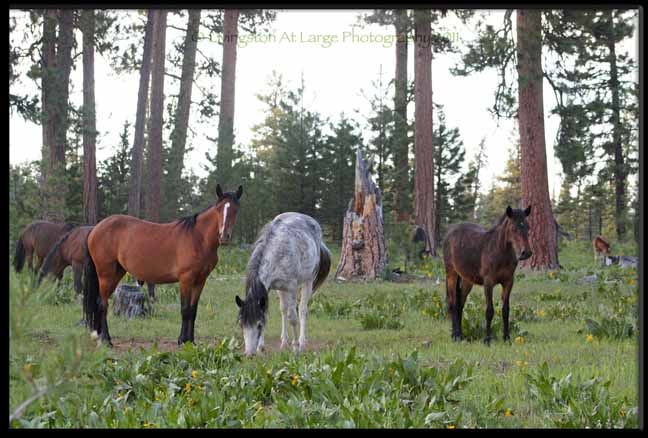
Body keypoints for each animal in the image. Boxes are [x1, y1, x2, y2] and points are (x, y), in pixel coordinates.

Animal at [81, 184, 243, 346]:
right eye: (218, 209)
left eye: (235, 210)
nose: (224, 237)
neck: (198, 238)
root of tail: (95, 228)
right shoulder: (186, 279)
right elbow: (185, 310)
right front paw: (182, 340)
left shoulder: (200, 280)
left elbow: (193, 310)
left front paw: (191, 341)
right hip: (105, 274)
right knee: (102, 304)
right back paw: (106, 340)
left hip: (117, 272)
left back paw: (101, 336)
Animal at [235, 211, 332, 356]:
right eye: (242, 324)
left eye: (259, 325)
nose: (249, 354)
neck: (276, 252)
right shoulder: (271, 288)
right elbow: (268, 313)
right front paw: (261, 348)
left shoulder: (291, 288)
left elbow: (293, 317)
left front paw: (295, 347)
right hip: (281, 289)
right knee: (283, 310)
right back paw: (284, 341)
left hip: (308, 281)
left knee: (302, 310)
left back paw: (302, 342)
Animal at [442, 205, 536, 346]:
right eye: (513, 228)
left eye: (528, 227)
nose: (526, 253)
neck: (499, 251)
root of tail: (450, 233)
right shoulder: (488, 283)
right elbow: (489, 311)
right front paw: (487, 339)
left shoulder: (508, 282)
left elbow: (505, 310)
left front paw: (506, 338)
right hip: (451, 274)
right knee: (452, 303)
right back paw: (455, 336)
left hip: (467, 280)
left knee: (460, 304)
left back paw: (461, 335)